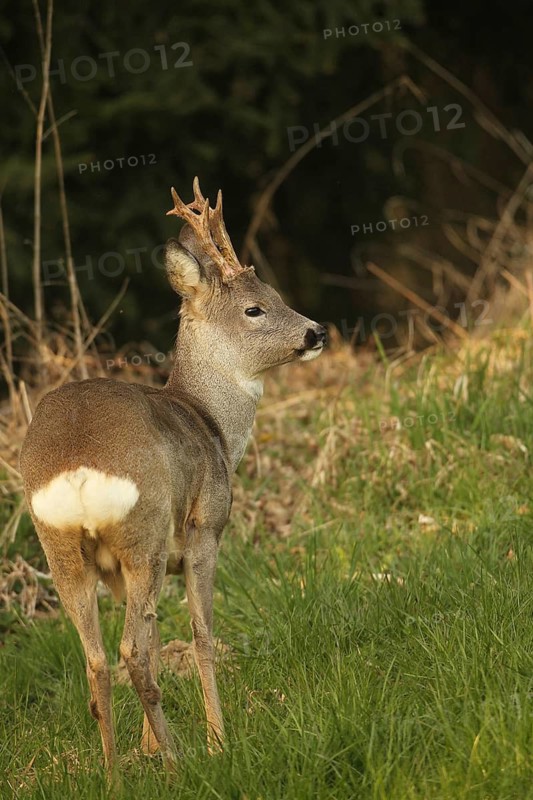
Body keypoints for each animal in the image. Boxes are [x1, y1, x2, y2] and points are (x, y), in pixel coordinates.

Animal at [19, 177, 326, 775]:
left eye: (276, 295)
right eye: (255, 308)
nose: (316, 331)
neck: (213, 423)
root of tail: (76, 471)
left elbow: (159, 639)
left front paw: (146, 748)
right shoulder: (206, 529)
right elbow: (200, 635)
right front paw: (217, 740)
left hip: (63, 549)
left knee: (100, 660)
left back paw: (115, 773)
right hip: (145, 533)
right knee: (129, 653)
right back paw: (181, 758)